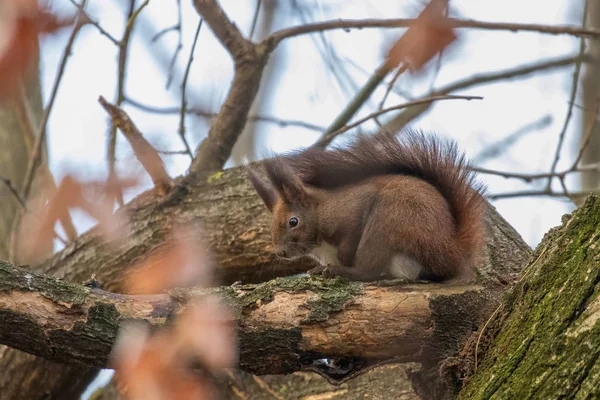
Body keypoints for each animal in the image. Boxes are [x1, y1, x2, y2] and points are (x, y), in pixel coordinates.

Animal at [246, 130, 486, 282]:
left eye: (293, 221)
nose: (281, 252)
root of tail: (449, 251)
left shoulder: (353, 209)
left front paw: (341, 262)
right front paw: (320, 267)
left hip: (388, 222)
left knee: (369, 270)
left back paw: (342, 272)